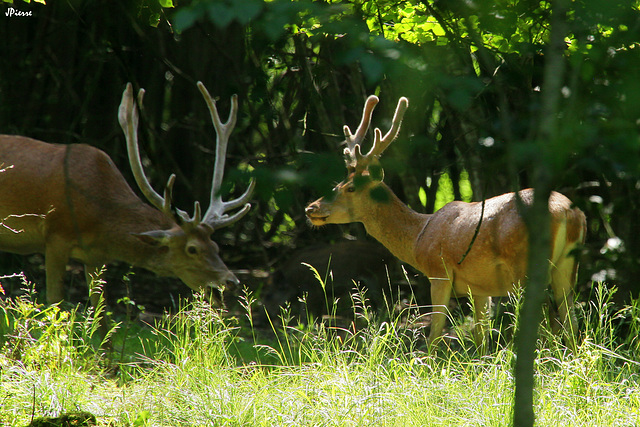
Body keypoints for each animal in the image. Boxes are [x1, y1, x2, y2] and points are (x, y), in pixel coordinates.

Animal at [0, 82, 254, 310]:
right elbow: (55, 303)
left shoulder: (96, 257)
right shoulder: (55, 237)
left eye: (216, 247)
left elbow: (102, 316)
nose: (232, 282)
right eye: (192, 249)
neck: (103, 221)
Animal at [304, 96, 584, 352]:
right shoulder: (480, 288)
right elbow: (481, 337)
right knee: (571, 322)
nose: (311, 208)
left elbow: (434, 336)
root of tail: (567, 213)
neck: (418, 237)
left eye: (350, 187)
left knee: (550, 323)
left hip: (525, 265)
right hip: (566, 265)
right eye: (337, 184)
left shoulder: (439, 272)